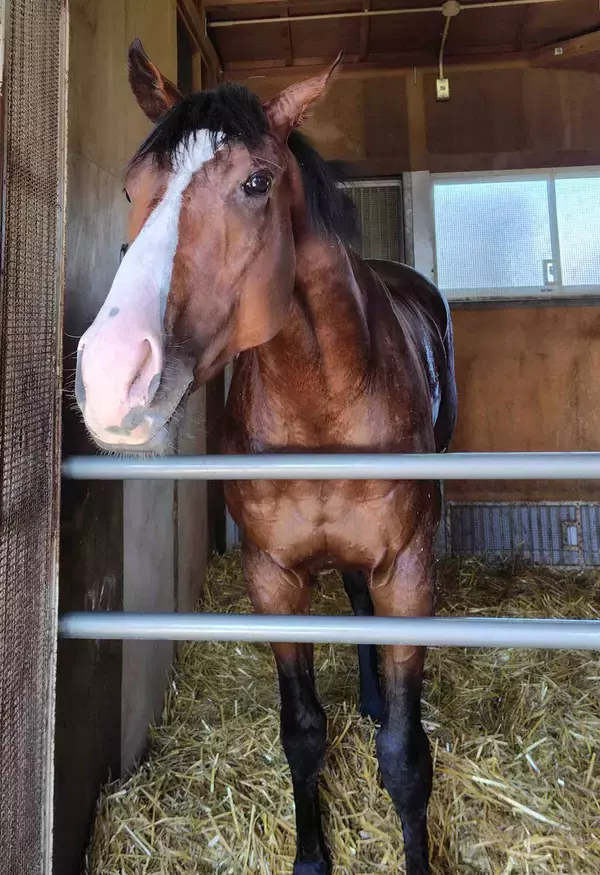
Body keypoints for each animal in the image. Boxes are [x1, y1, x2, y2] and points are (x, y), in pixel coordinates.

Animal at [75, 40, 457, 875]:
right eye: (131, 186)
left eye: (256, 182)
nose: (112, 375)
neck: (323, 407)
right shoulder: (272, 577)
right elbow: (303, 731)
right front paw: (312, 855)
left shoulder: (410, 569)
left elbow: (406, 756)